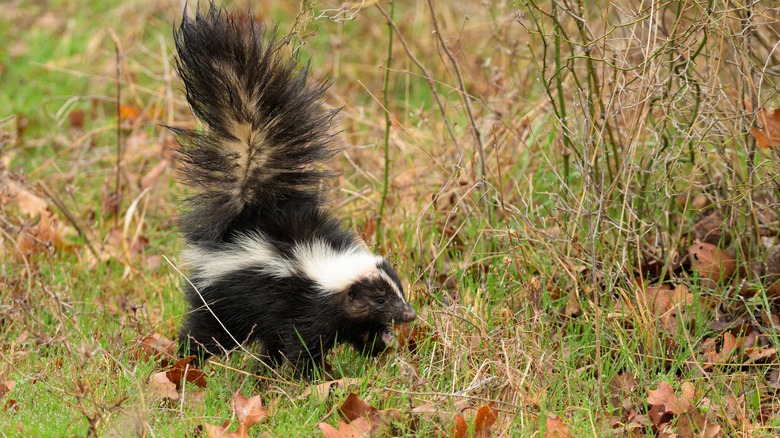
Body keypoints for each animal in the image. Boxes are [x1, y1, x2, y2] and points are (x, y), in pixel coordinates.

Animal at [170, 1, 414, 374]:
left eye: (397, 290)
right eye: (379, 299)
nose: (409, 315)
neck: (325, 269)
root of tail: (247, 214)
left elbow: (356, 334)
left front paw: (378, 343)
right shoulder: (302, 302)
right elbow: (304, 341)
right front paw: (311, 376)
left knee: (263, 339)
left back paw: (262, 369)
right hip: (223, 296)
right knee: (208, 330)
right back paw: (187, 360)